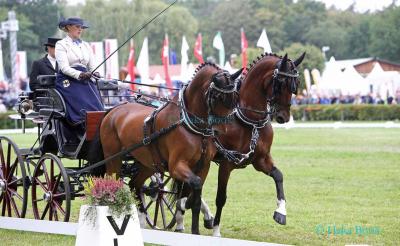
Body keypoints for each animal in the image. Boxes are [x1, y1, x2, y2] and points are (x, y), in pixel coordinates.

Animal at [89, 63, 242, 234]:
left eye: (235, 97)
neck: (189, 124)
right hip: (113, 158)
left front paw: (195, 226)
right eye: (216, 97)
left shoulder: (203, 166)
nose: (222, 131)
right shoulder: (176, 166)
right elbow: (194, 186)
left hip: (149, 163)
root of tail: (113, 110)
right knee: (111, 184)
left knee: (135, 184)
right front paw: (186, 208)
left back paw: (142, 221)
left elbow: (196, 194)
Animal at [173, 52, 304, 235]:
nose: (283, 116)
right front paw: (216, 231)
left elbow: (279, 175)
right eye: (281, 82)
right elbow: (221, 197)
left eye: (295, 84)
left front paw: (281, 212)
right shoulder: (226, 164)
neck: (250, 121)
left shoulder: (260, 160)